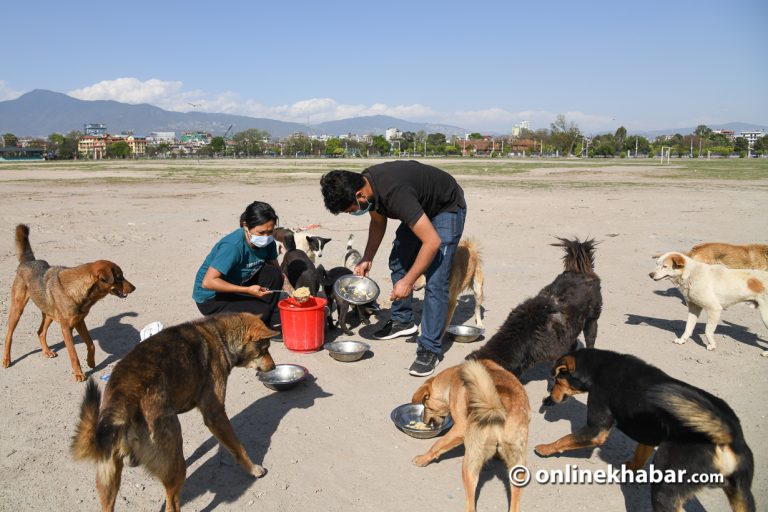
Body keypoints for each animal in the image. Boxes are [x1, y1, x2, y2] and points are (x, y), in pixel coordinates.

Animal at [3, 224, 136, 380]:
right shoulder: (66, 329)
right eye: (119, 277)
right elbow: (73, 354)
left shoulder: (79, 322)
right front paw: (79, 373)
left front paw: (90, 362)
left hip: (49, 314)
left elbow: (91, 344)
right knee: (9, 335)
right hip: (17, 309)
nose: (134, 288)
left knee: (40, 332)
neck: (79, 290)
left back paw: (47, 351)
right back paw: (6, 359)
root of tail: (29, 261)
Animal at [70, 312, 278, 512]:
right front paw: (253, 469)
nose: (274, 367)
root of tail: (123, 398)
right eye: (265, 349)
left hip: (108, 478)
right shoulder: (215, 415)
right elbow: (238, 447)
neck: (219, 335)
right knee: (172, 505)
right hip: (175, 461)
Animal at [412, 358, 532, 512]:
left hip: (469, 465)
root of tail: (497, 409)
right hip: (517, 468)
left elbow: (437, 445)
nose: (424, 421)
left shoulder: (460, 428)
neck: (451, 380)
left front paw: (423, 458)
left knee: (471, 504)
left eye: (427, 407)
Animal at [536, 348, 756, 512]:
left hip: (666, 489)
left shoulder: (597, 428)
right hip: (742, 495)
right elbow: (639, 456)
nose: (547, 399)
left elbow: (564, 439)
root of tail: (728, 433)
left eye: (557, 381)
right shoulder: (647, 435)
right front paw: (630, 470)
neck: (599, 368)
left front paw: (545, 448)